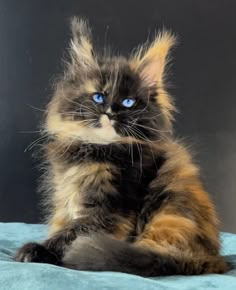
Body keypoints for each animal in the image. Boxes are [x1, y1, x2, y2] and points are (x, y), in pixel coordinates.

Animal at [13, 18, 230, 276]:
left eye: (128, 102)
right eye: (98, 97)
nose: (110, 113)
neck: (97, 151)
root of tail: (211, 259)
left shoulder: (110, 211)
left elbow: (71, 234)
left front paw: (36, 250)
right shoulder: (66, 201)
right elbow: (63, 225)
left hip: (168, 209)